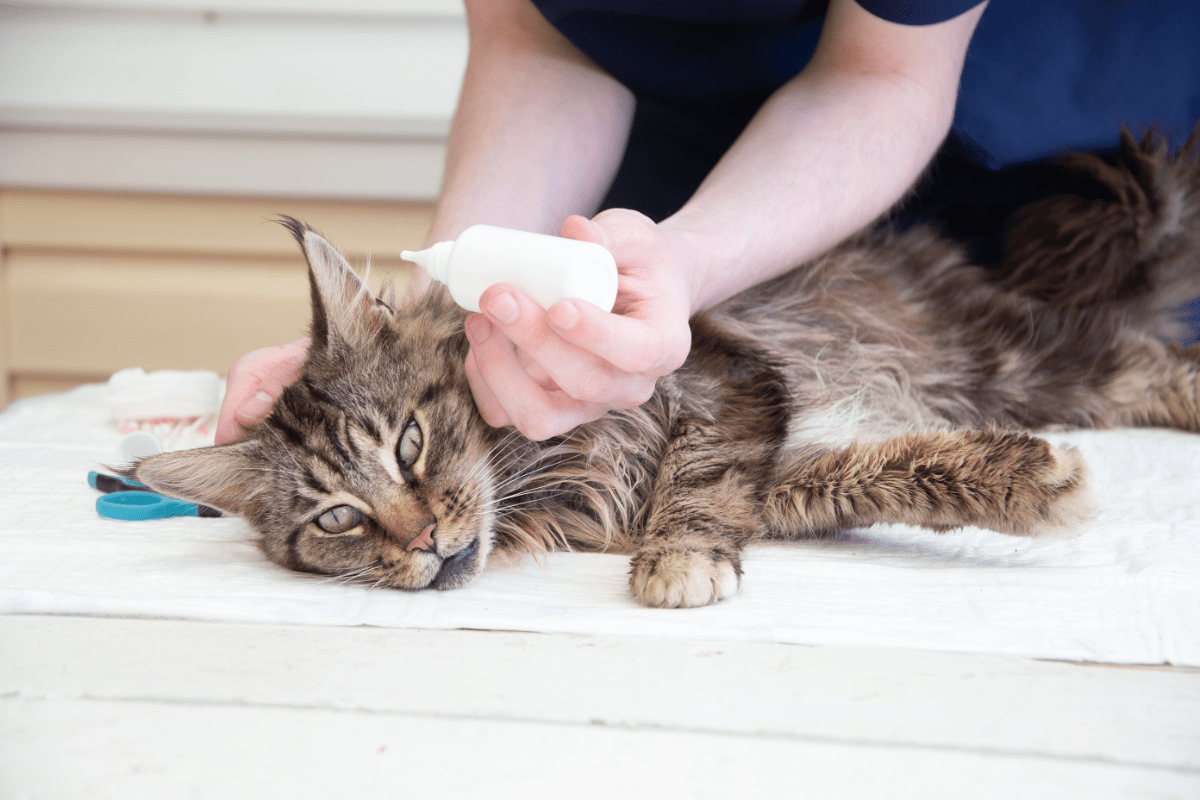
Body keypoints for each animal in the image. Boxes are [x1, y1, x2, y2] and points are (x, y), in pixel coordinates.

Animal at [129, 130, 1200, 606]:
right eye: (337, 521)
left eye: (408, 444)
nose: (426, 540)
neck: (553, 476)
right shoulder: (785, 474)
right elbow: (885, 473)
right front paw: (1034, 481)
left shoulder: (723, 380)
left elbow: (700, 474)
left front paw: (679, 563)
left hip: (1016, 359)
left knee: (1147, 356)